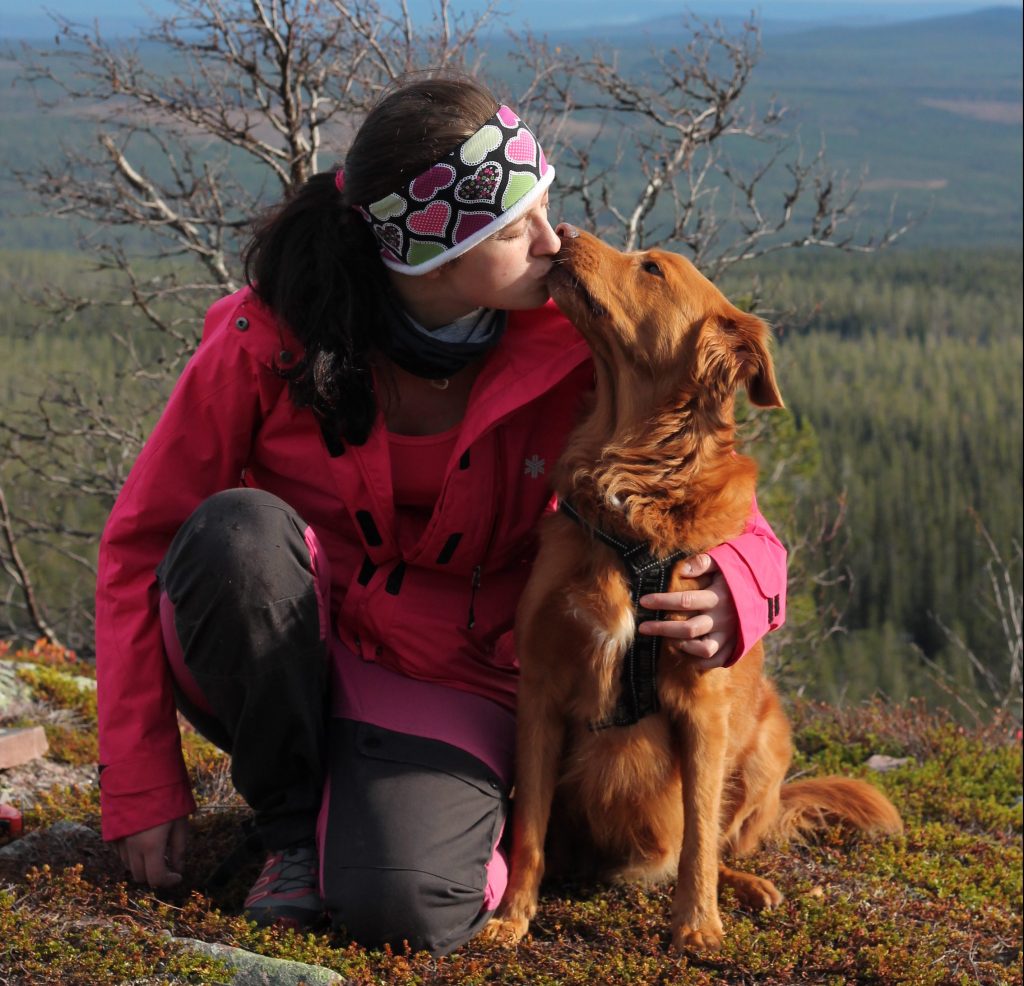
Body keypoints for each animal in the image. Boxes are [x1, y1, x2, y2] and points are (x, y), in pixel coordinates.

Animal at [483, 227, 901, 954]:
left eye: (651, 267)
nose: (564, 234)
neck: (632, 494)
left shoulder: (703, 704)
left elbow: (699, 836)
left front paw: (698, 927)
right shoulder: (540, 690)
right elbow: (528, 827)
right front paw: (512, 918)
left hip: (768, 739)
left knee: (723, 841)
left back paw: (748, 886)